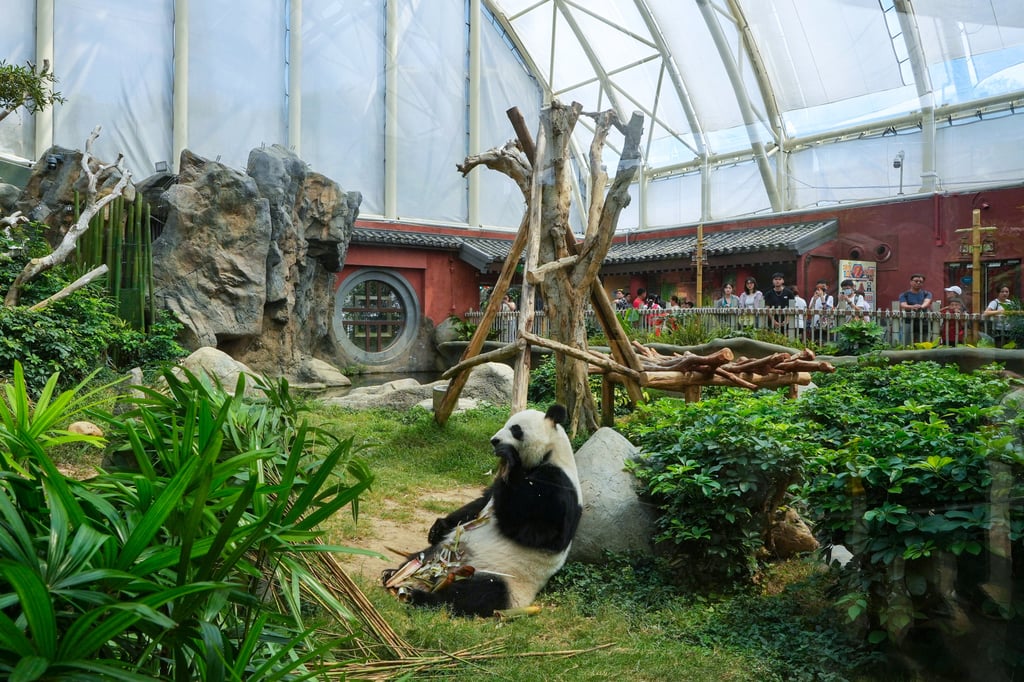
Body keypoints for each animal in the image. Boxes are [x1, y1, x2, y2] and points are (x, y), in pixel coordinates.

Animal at [382, 404, 583, 617]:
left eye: (515, 429)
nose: (494, 441)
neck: (550, 454)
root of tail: (447, 572)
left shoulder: (556, 486)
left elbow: (537, 531)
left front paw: (509, 457)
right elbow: (480, 503)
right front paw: (438, 528)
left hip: (504, 577)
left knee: (474, 594)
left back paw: (420, 596)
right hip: (442, 553)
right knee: (421, 558)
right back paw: (395, 575)